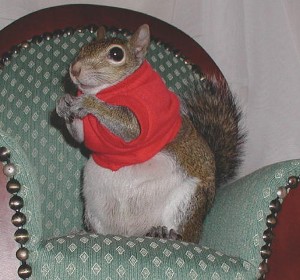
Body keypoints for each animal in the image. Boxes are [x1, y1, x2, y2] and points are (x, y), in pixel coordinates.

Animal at [55, 24, 244, 243]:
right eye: (84, 47)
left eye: (116, 54)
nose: (75, 70)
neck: (108, 90)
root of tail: (130, 234)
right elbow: (79, 137)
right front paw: (63, 102)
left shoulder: (143, 120)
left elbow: (129, 126)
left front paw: (88, 102)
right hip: (94, 206)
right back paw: (83, 232)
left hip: (188, 201)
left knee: (185, 234)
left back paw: (167, 233)